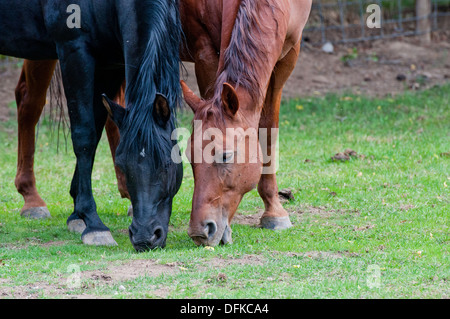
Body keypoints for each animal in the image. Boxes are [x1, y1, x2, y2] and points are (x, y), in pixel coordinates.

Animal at [0, 0, 183, 252]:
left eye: (167, 164)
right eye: (121, 165)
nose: (145, 237)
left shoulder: (109, 61)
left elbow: (95, 127)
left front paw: (77, 213)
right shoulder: (73, 50)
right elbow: (84, 136)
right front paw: (93, 223)